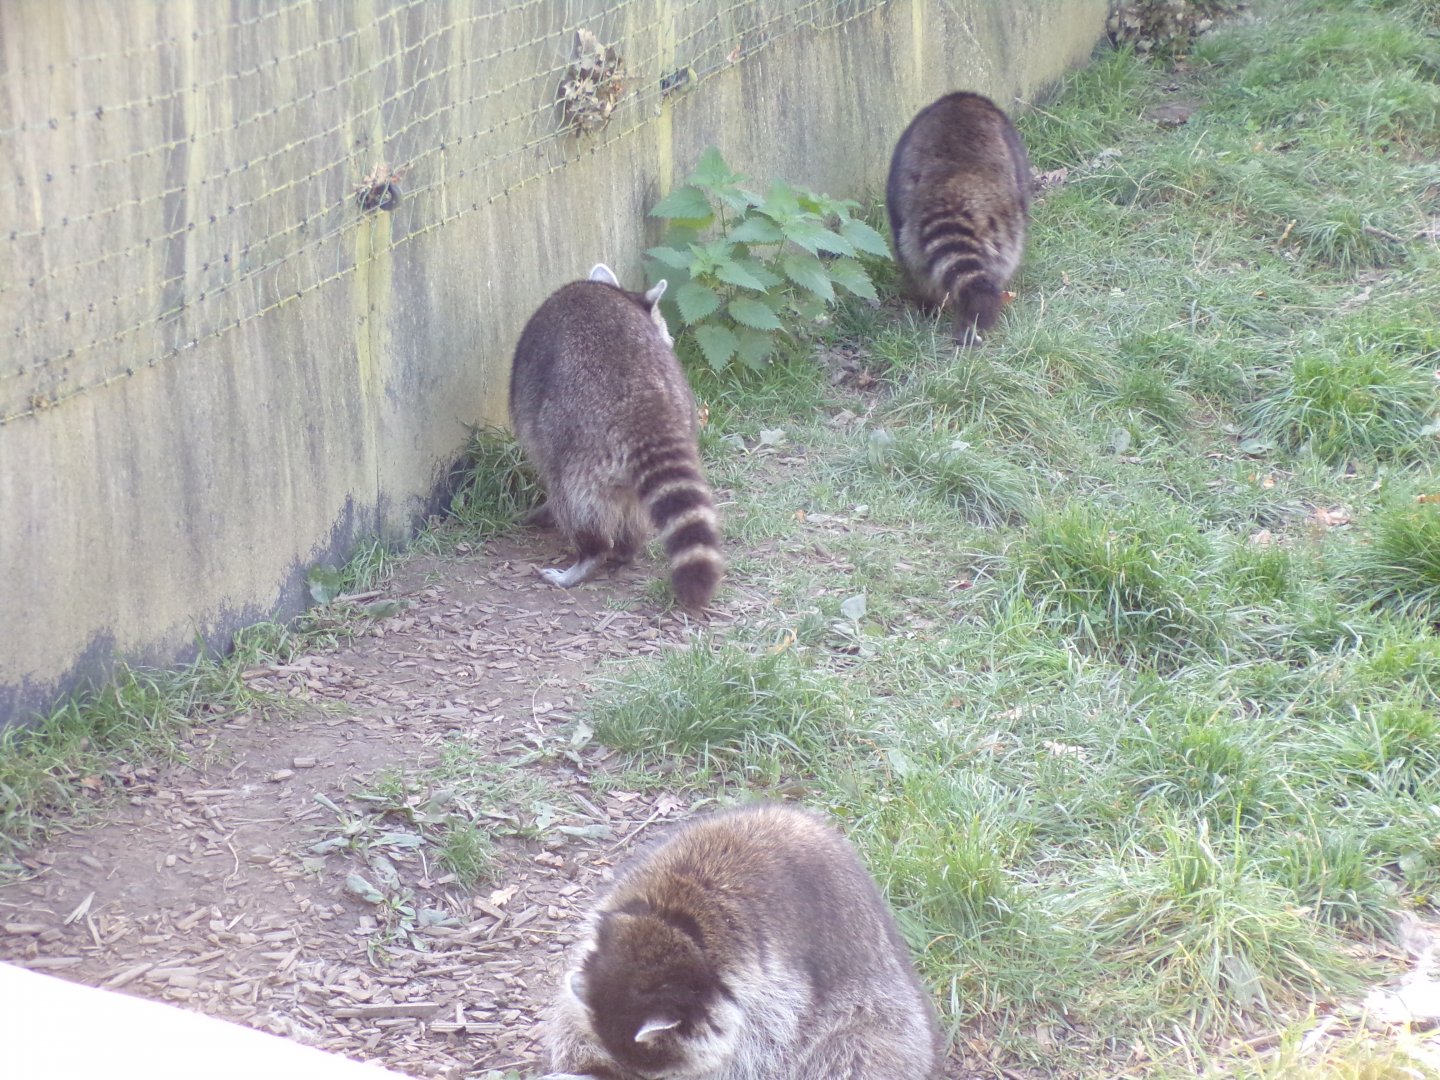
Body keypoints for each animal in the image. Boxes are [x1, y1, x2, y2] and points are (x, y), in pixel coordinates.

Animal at [508, 264, 724, 608]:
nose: (670, 341)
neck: (620, 294)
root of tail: (644, 402)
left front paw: (543, 510)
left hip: (578, 439)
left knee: (571, 495)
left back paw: (590, 553)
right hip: (676, 408)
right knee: (633, 508)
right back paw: (626, 547)